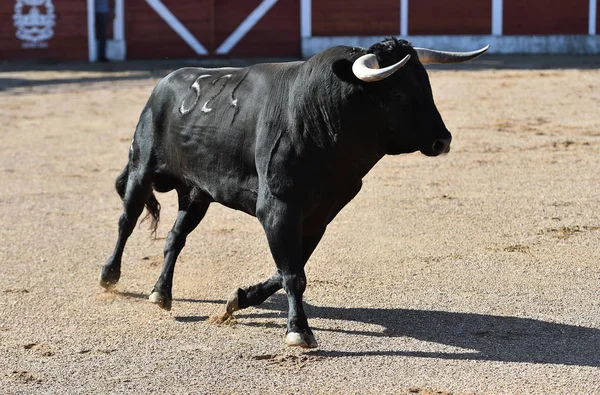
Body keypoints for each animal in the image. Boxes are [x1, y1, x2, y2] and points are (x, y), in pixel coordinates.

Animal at [101, 38, 490, 350]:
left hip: (197, 193)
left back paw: (161, 293)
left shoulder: (319, 214)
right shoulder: (278, 208)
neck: (321, 117)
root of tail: (163, 84)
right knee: (126, 221)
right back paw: (109, 276)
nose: (442, 141)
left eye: (427, 86)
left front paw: (239, 299)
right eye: (397, 94)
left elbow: (290, 266)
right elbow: (292, 272)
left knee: (175, 237)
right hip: (141, 169)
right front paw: (298, 331)